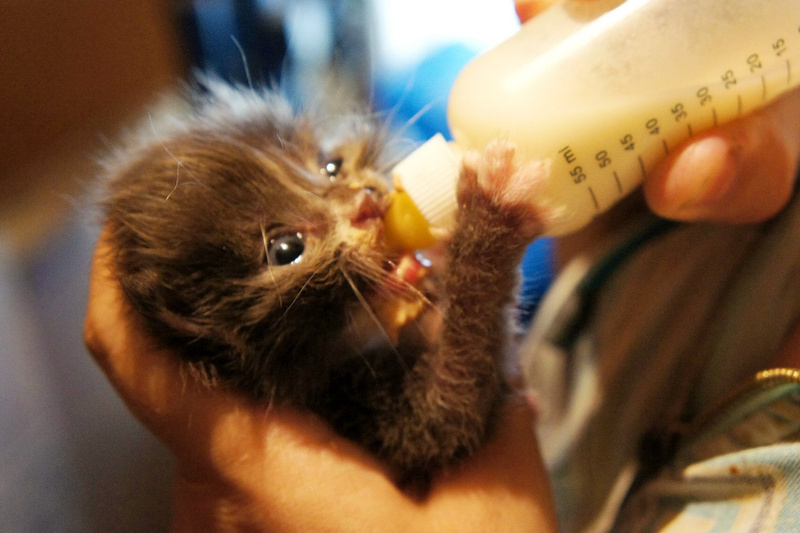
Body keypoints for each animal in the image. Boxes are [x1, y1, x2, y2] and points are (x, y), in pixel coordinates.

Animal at [100, 81, 548, 486]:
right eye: (286, 249)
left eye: (331, 166)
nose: (366, 204)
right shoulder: (349, 407)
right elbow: (447, 410)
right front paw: (492, 211)